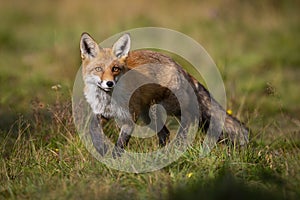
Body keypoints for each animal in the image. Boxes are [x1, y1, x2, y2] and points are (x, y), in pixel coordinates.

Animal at [79, 32, 248, 156]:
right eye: (99, 69)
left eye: (115, 69)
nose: (109, 83)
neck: (108, 100)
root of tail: (179, 66)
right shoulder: (101, 113)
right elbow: (92, 128)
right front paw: (100, 149)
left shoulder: (130, 117)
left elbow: (121, 143)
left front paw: (114, 159)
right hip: (148, 115)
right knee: (165, 133)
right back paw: (161, 154)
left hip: (164, 108)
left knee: (191, 117)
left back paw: (175, 146)